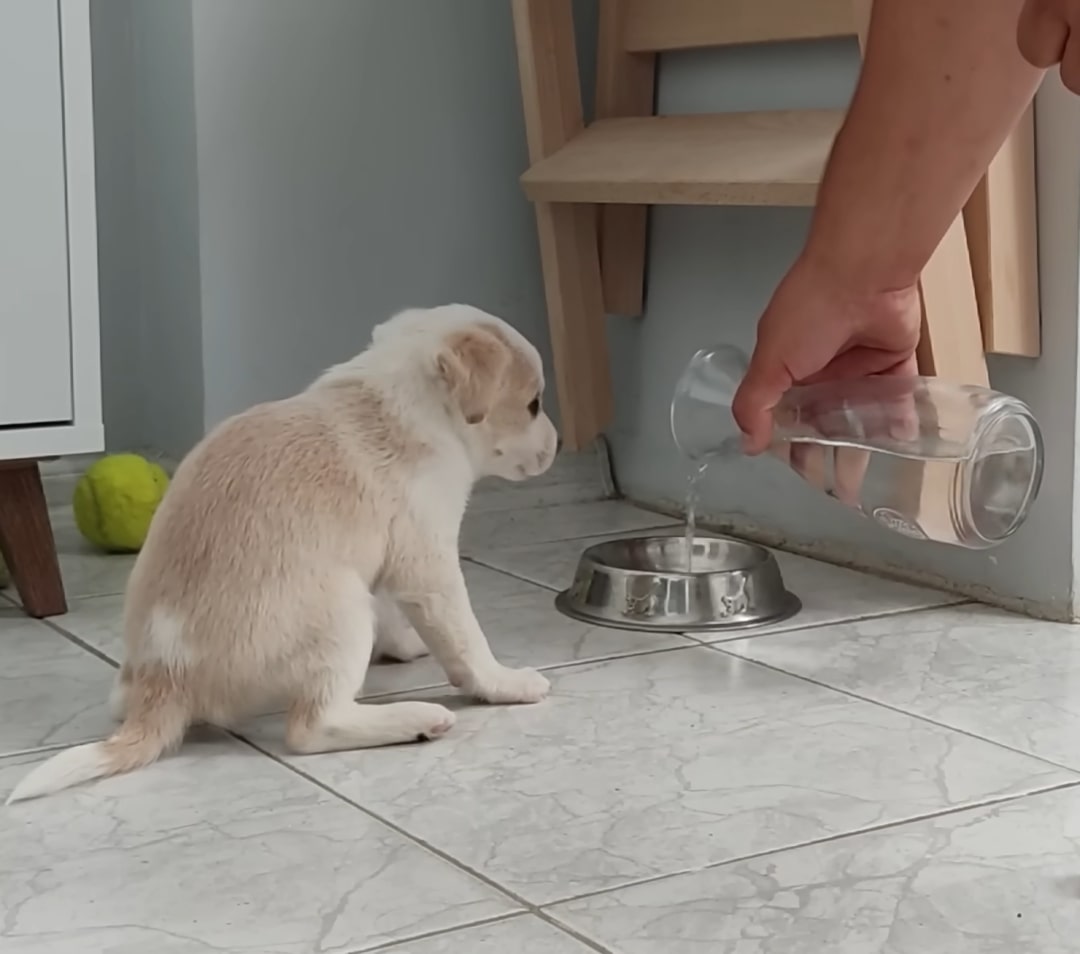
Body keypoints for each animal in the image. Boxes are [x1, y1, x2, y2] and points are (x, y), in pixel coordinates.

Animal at [10, 306, 557, 803]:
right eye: (533, 404)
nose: (557, 444)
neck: (395, 395)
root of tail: (166, 680)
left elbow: (395, 616)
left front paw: (404, 645)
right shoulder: (427, 564)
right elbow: (465, 640)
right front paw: (505, 683)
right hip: (342, 612)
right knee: (313, 726)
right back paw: (415, 719)